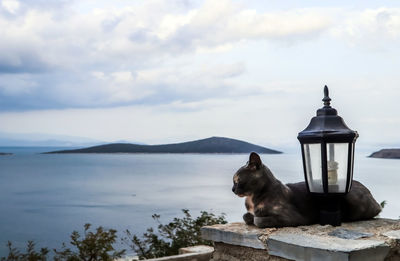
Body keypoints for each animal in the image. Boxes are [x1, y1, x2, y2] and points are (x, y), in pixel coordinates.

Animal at [233, 151, 382, 226]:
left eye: (237, 180)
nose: (233, 189)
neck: (252, 199)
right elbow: (246, 216)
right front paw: (249, 217)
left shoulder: (293, 217)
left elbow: (258, 220)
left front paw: (255, 219)